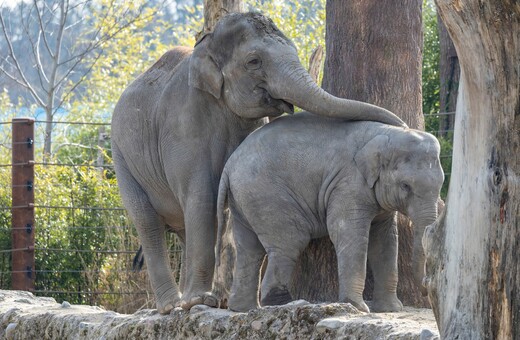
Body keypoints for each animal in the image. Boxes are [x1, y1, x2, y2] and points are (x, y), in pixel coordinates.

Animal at [112, 11, 406, 314]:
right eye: (254, 62)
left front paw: (204, 301)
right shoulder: (182, 126)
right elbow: (201, 199)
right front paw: (199, 302)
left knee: (184, 228)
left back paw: (184, 299)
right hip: (122, 158)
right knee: (148, 222)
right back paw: (172, 306)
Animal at [215, 113, 442, 312]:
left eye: (442, 184)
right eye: (405, 186)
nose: (425, 290)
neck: (387, 133)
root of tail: (228, 165)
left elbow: (385, 240)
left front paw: (390, 309)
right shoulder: (348, 183)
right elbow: (348, 233)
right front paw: (358, 308)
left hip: (244, 198)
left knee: (249, 249)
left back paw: (242, 309)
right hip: (266, 195)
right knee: (289, 243)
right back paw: (282, 305)